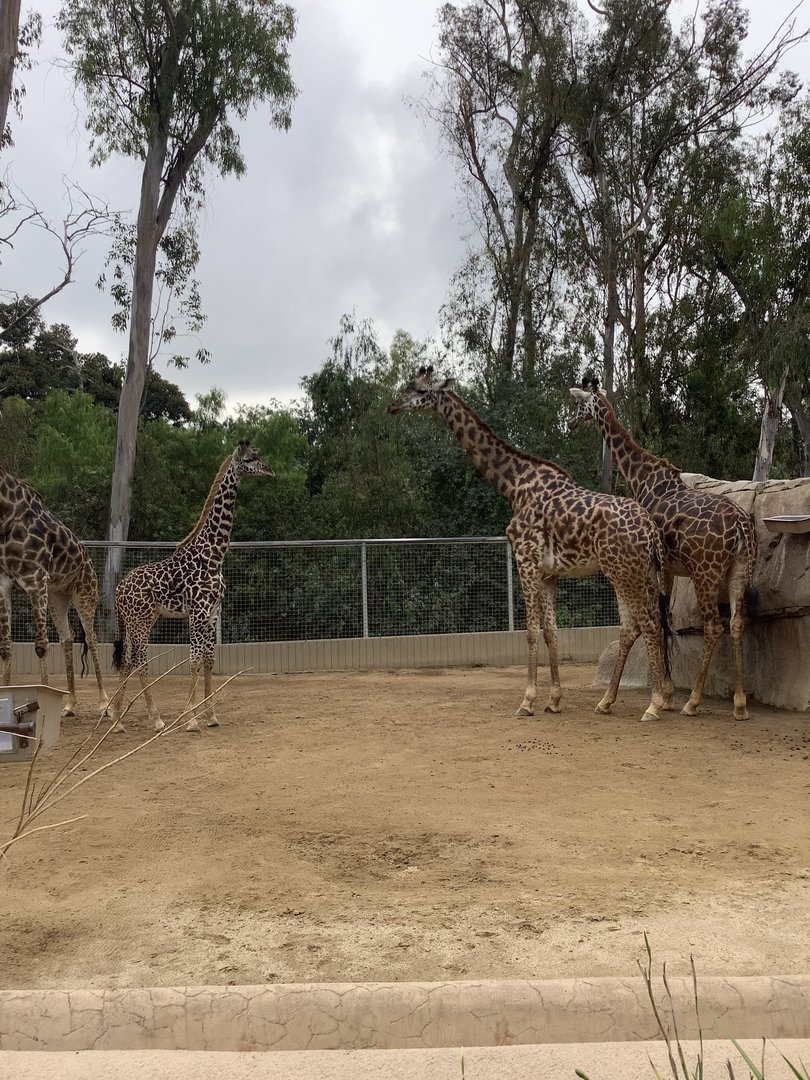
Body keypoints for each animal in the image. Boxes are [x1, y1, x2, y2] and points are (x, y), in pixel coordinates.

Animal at [0, 466, 107, 717]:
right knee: (67, 638)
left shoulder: (35, 580)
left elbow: (41, 645)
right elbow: (6, 647)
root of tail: (89, 561)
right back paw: (69, 704)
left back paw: (103, 703)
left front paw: (42, 701)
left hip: (85, 593)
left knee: (91, 638)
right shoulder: (4, 583)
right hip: (57, 597)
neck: (6, 515)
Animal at [107, 441, 274, 734]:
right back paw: (156, 718)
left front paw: (211, 716)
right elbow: (194, 661)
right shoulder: (197, 612)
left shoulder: (212, 612)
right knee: (139, 661)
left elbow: (208, 660)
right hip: (139, 622)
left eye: (258, 455)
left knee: (126, 660)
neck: (214, 555)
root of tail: (118, 591)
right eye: (249, 459)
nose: (270, 471)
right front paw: (191, 719)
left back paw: (117, 721)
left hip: (141, 620)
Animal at [388, 367, 672, 722]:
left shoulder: (525, 560)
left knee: (648, 623)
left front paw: (527, 700)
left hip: (624, 572)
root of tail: (650, 529)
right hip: (636, 572)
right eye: (408, 386)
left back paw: (654, 704)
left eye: (421, 390)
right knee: (638, 624)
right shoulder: (549, 573)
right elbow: (551, 631)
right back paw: (608, 701)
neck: (514, 484)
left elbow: (531, 630)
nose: (393, 406)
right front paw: (554, 700)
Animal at [568, 379, 758, 721]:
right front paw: (665, 693)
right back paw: (739, 705)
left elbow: (656, 618)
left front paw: (664, 696)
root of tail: (741, 527)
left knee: (713, 625)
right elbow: (665, 618)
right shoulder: (668, 567)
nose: (570, 423)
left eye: (578, 404)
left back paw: (692, 702)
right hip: (740, 567)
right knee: (737, 622)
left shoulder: (654, 565)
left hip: (705, 571)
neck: (640, 477)